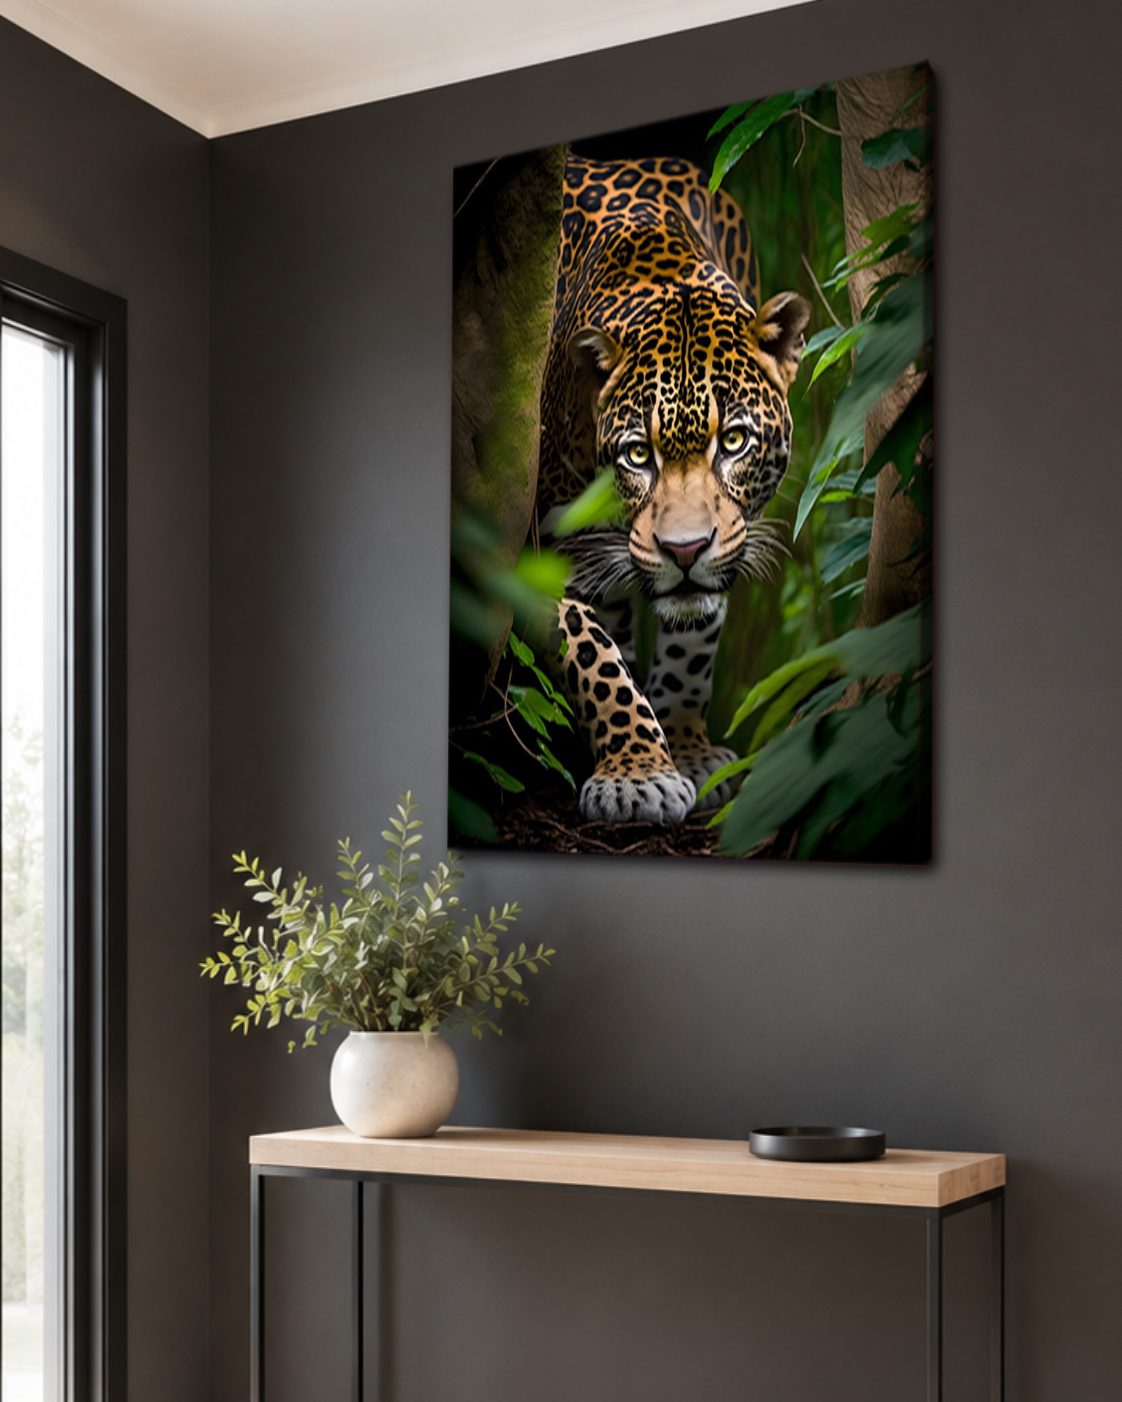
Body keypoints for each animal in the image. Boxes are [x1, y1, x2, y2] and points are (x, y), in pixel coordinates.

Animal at [537, 151, 811, 825]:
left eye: (733, 441)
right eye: (638, 454)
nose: (684, 551)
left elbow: (692, 648)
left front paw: (686, 751)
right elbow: (593, 655)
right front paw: (638, 773)